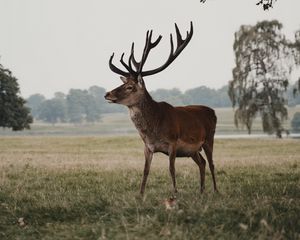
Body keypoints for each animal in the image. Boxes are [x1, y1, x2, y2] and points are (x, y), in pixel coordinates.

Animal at [104, 21, 217, 196]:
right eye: (123, 83)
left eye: (130, 87)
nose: (107, 94)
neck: (153, 130)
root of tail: (213, 112)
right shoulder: (147, 147)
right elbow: (145, 171)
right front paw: (140, 195)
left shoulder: (173, 142)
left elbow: (171, 169)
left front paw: (175, 193)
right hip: (193, 150)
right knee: (202, 162)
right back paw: (201, 192)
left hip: (209, 138)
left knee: (211, 163)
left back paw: (216, 191)